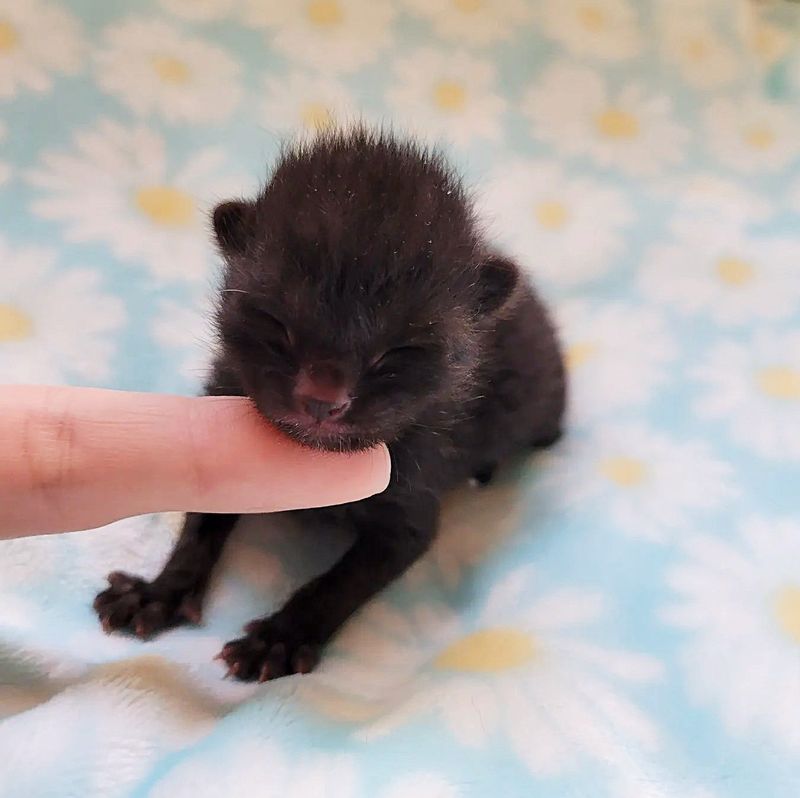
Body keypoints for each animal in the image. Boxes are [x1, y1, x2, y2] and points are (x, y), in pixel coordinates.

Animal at [94, 128, 564, 684]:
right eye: (275, 322)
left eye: (397, 352)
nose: (323, 400)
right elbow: (200, 524)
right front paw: (160, 591)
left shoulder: (411, 508)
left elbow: (340, 583)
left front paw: (281, 637)